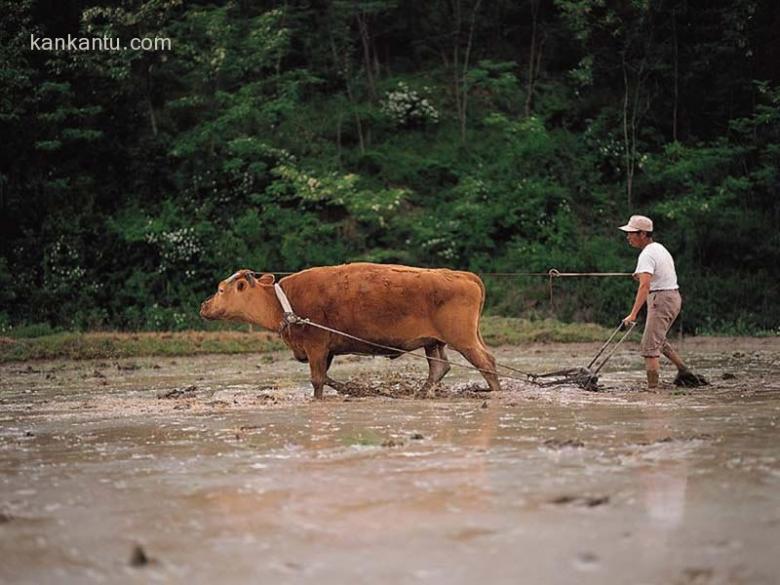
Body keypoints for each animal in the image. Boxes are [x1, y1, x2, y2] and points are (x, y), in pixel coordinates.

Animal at [200, 264, 500, 396]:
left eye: (220, 289)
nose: (203, 305)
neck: (281, 301)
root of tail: (463, 275)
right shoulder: (326, 350)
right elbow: (326, 377)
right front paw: (349, 388)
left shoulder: (316, 346)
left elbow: (317, 380)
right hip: (434, 341)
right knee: (439, 367)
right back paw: (420, 393)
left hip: (463, 339)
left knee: (486, 363)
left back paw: (494, 392)